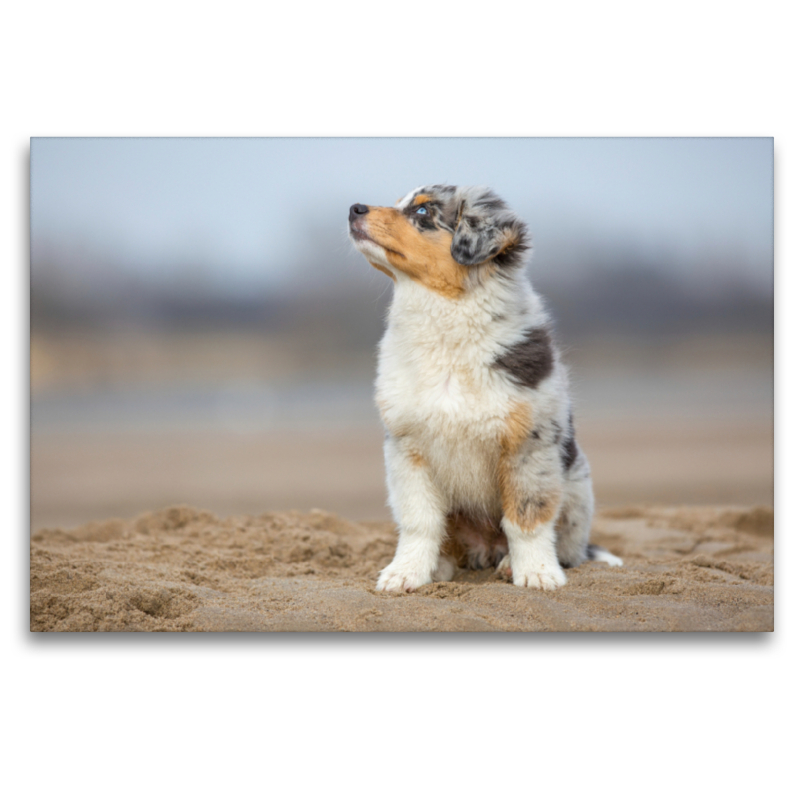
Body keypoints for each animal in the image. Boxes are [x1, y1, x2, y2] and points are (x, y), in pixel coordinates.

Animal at [346, 184, 620, 592]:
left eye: (423, 211)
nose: (353, 209)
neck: (446, 321)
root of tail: (485, 549)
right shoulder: (407, 447)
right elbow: (419, 521)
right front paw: (405, 573)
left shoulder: (529, 444)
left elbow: (527, 516)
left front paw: (537, 573)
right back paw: (442, 567)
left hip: (576, 486)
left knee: (568, 547)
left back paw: (509, 564)